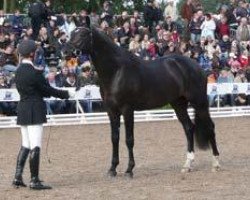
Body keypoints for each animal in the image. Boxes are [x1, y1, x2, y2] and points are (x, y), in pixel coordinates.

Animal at [65, 17, 220, 177]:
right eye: (72, 33)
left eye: (83, 34)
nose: (66, 52)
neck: (116, 71)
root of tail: (197, 66)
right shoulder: (111, 111)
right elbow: (114, 138)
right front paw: (112, 169)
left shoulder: (127, 109)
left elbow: (129, 139)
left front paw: (129, 169)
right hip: (179, 104)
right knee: (189, 128)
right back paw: (187, 165)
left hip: (199, 102)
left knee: (209, 127)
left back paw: (215, 164)